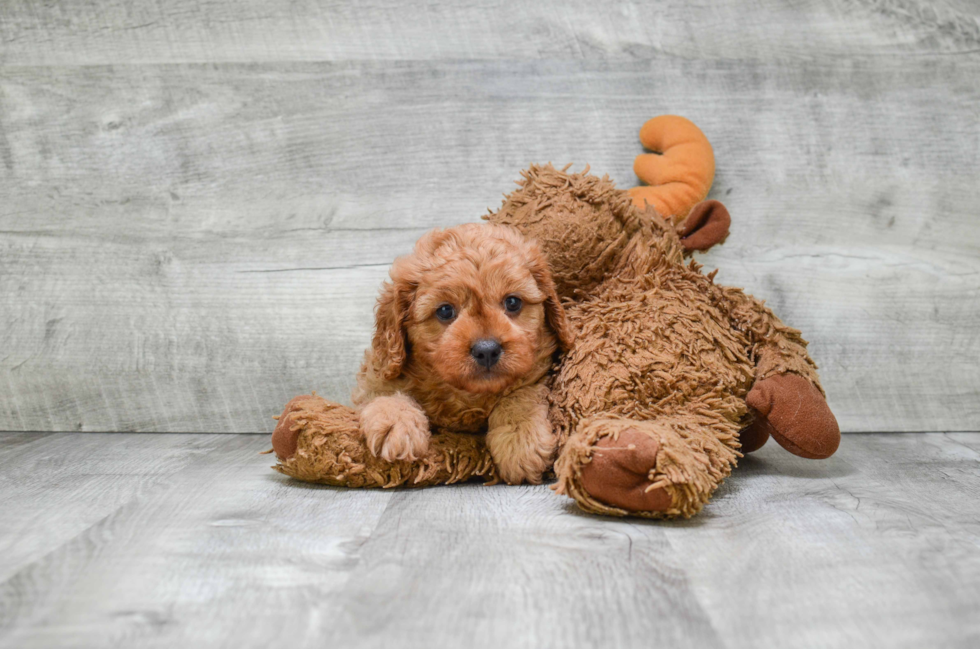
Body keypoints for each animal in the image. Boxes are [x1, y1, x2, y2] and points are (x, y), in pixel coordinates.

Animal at [352, 223, 572, 480]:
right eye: (445, 311)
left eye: (513, 302)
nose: (487, 350)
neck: (466, 394)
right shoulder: (378, 371)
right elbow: (383, 393)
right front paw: (395, 423)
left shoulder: (537, 373)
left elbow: (521, 394)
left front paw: (521, 438)